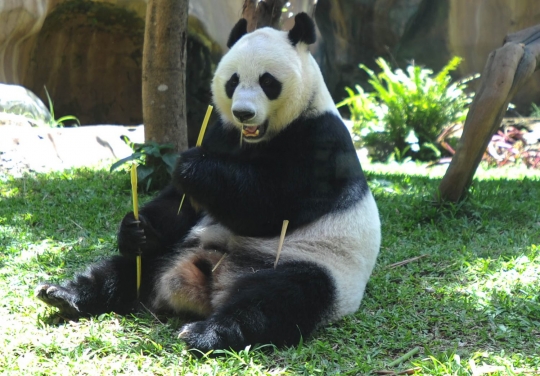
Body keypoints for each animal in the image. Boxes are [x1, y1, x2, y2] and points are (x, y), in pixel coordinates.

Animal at [34, 11, 380, 352]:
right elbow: (181, 204)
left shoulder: (319, 142)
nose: (243, 113)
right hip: (175, 250)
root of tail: (212, 284)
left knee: (279, 298)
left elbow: (269, 204)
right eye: (233, 81)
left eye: (268, 81)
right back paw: (64, 294)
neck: (258, 138)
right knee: (124, 269)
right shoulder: (223, 133)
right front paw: (135, 228)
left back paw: (206, 333)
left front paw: (192, 167)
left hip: (317, 268)